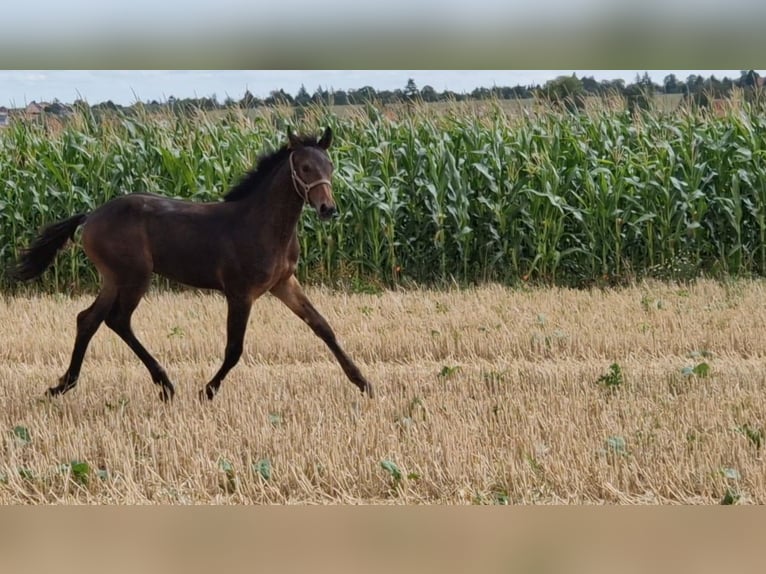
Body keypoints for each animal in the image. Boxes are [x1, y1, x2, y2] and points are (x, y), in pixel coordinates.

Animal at [9, 128, 376, 402]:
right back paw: (164, 384)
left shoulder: (283, 283)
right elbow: (234, 348)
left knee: (88, 319)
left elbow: (322, 326)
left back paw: (63, 384)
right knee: (117, 320)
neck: (263, 224)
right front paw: (207, 390)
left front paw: (363, 382)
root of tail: (91, 215)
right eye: (304, 167)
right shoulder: (240, 293)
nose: (328, 209)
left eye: (330, 166)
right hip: (134, 276)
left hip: (113, 278)